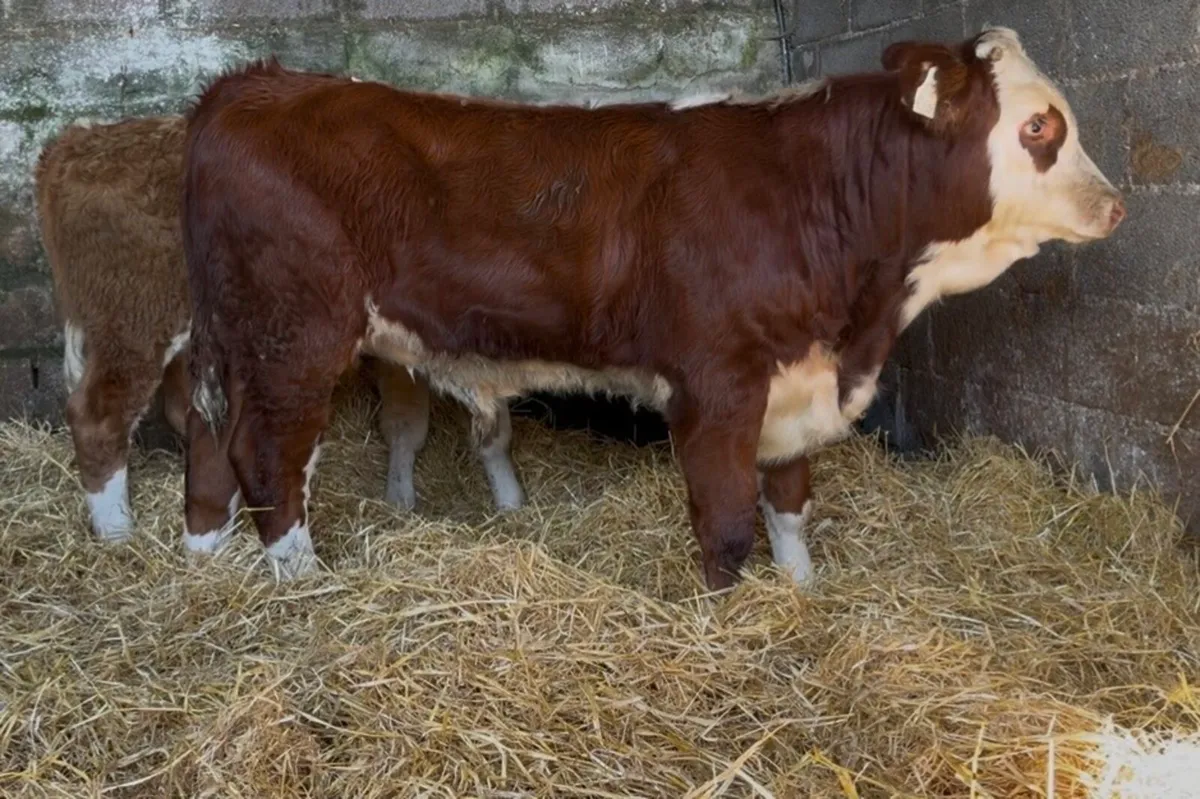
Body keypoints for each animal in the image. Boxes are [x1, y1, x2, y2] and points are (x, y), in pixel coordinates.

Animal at [34, 115, 524, 547]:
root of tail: (77, 144)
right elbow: (412, 424)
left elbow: (476, 430)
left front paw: (505, 503)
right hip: (136, 322)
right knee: (99, 419)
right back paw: (119, 535)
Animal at [179, 26, 1125, 589]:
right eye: (1040, 128)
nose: (1117, 206)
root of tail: (248, 86)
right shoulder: (717, 383)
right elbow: (729, 521)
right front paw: (730, 617)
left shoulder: (796, 378)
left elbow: (790, 504)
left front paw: (802, 593)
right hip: (292, 333)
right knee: (268, 455)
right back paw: (302, 582)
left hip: (234, 336)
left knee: (210, 443)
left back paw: (201, 558)